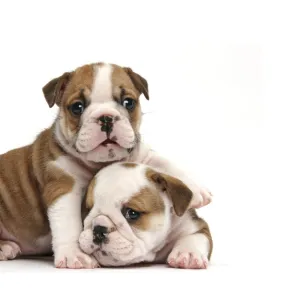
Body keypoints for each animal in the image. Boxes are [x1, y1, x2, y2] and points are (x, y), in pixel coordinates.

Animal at [78, 163, 212, 268]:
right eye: (87, 210)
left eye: (132, 213)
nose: (98, 229)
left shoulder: (195, 224)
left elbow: (195, 236)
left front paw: (189, 253)